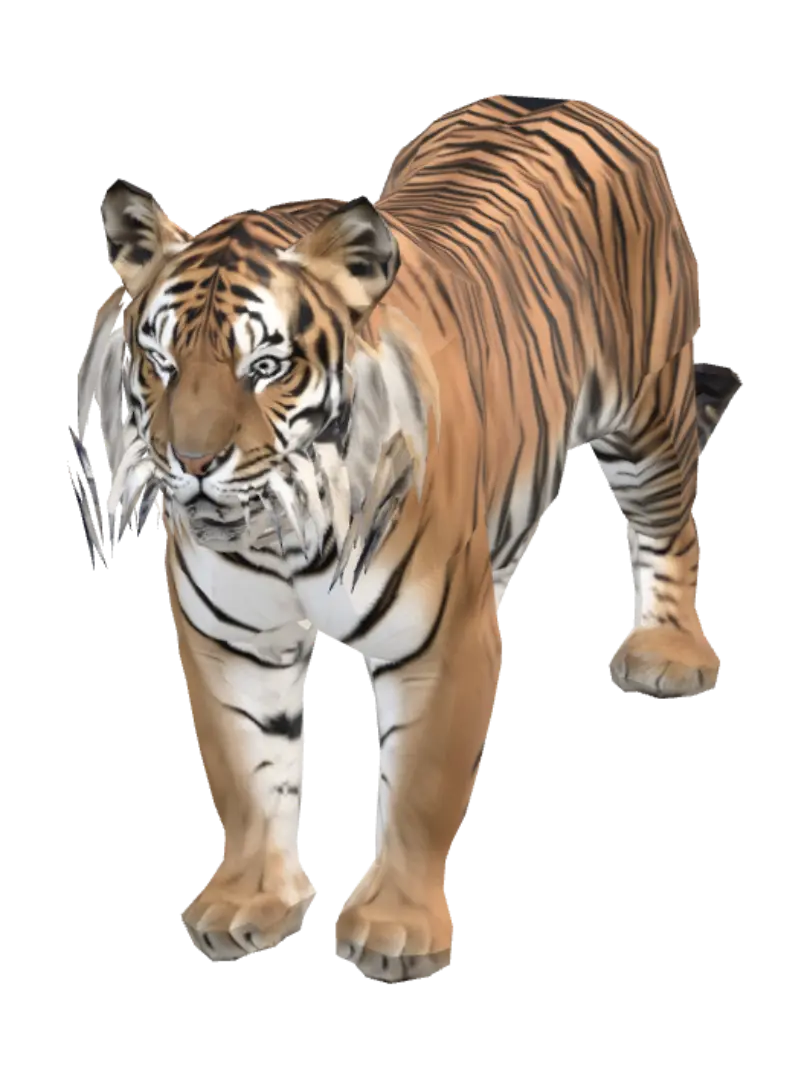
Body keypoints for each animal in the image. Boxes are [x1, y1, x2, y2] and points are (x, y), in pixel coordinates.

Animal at [72, 92, 727, 980]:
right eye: (162, 362)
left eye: (265, 368)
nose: (193, 462)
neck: (285, 534)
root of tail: (552, 94)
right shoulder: (233, 643)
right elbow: (249, 775)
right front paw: (250, 903)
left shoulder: (442, 640)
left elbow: (419, 786)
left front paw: (394, 930)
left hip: (645, 408)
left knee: (670, 521)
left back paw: (669, 652)